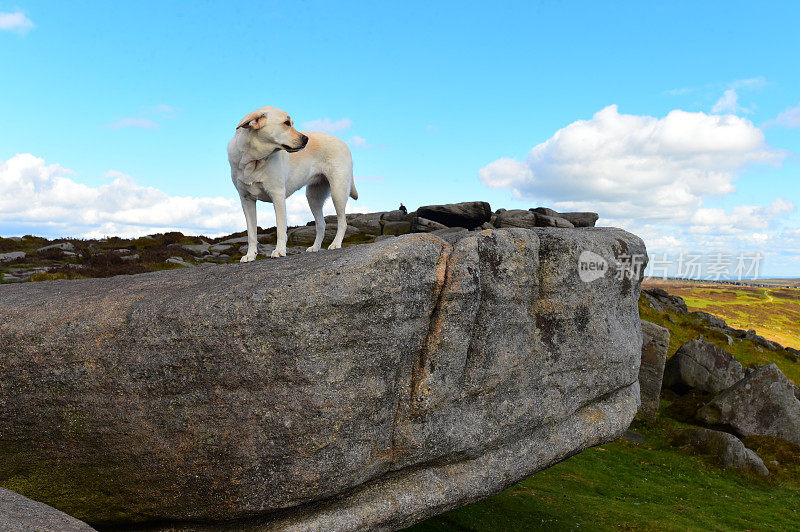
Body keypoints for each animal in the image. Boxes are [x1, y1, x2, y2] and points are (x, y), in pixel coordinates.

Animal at [228, 105, 360, 260]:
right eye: (286, 123)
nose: (306, 138)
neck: (253, 160)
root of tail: (344, 144)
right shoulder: (246, 200)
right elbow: (251, 234)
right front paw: (250, 255)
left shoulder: (277, 196)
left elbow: (280, 228)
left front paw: (279, 251)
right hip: (313, 197)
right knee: (321, 224)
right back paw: (315, 247)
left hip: (338, 192)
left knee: (342, 222)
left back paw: (335, 244)